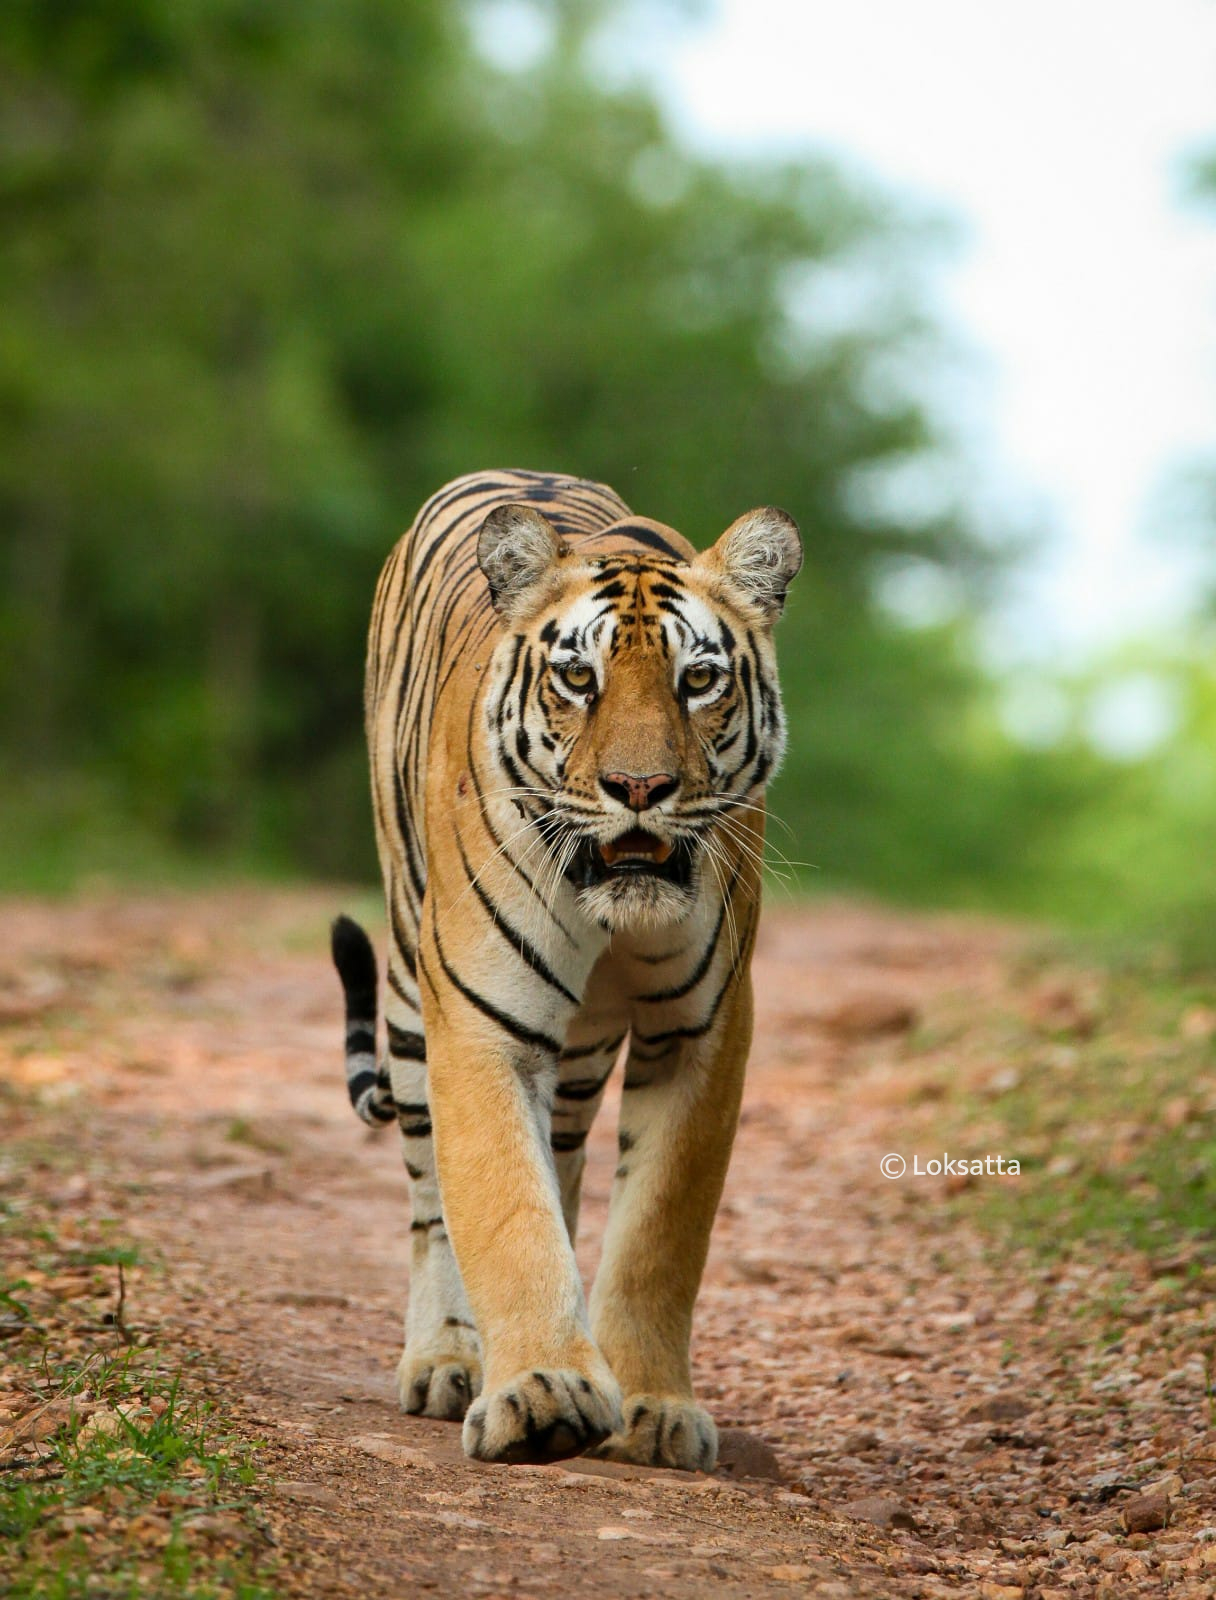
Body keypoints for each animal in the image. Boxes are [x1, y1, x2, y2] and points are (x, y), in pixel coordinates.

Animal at [329, 467, 796, 1465]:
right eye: (579, 679)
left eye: (699, 680)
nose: (639, 789)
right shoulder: (481, 1023)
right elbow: (505, 1207)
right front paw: (542, 1390)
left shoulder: (702, 1031)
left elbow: (659, 1232)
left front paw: (653, 1407)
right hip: (408, 988)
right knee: (431, 1193)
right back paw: (447, 1359)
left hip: (580, 1052)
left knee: (570, 1159)